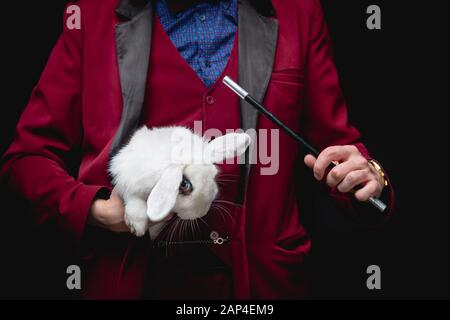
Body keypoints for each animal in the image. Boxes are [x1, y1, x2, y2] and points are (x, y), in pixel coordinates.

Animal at [107, 126, 251, 239]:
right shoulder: (127, 179)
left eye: (214, 173)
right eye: (184, 185)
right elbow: (132, 198)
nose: (203, 213)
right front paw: (137, 227)